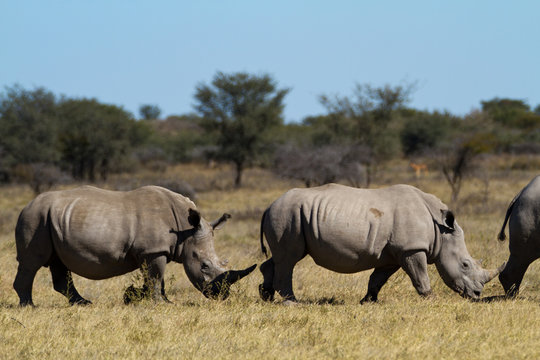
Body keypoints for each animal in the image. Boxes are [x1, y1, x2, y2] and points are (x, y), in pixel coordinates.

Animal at [12, 186, 256, 306]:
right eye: (204, 265)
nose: (222, 296)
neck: (184, 229)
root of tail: (26, 205)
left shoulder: (152, 251)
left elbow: (155, 278)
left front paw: (152, 299)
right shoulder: (153, 250)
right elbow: (156, 278)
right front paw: (161, 304)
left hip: (50, 220)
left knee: (58, 263)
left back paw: (83, 303)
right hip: (35, 218)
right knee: (31, 263)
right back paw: (29, 306)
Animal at [260, 184, 504, 302]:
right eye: (465, 264)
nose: (477, 295)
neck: (441, 230)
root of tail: (269, 205)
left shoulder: (394, 254)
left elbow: (377, 279)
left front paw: (368, 301)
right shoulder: (412, 249)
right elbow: (421, 276)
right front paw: (431, 299)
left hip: (290, 215)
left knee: (281, 258)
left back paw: (266, 297)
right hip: (288, 214)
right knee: (289, 259)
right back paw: (292, 302)